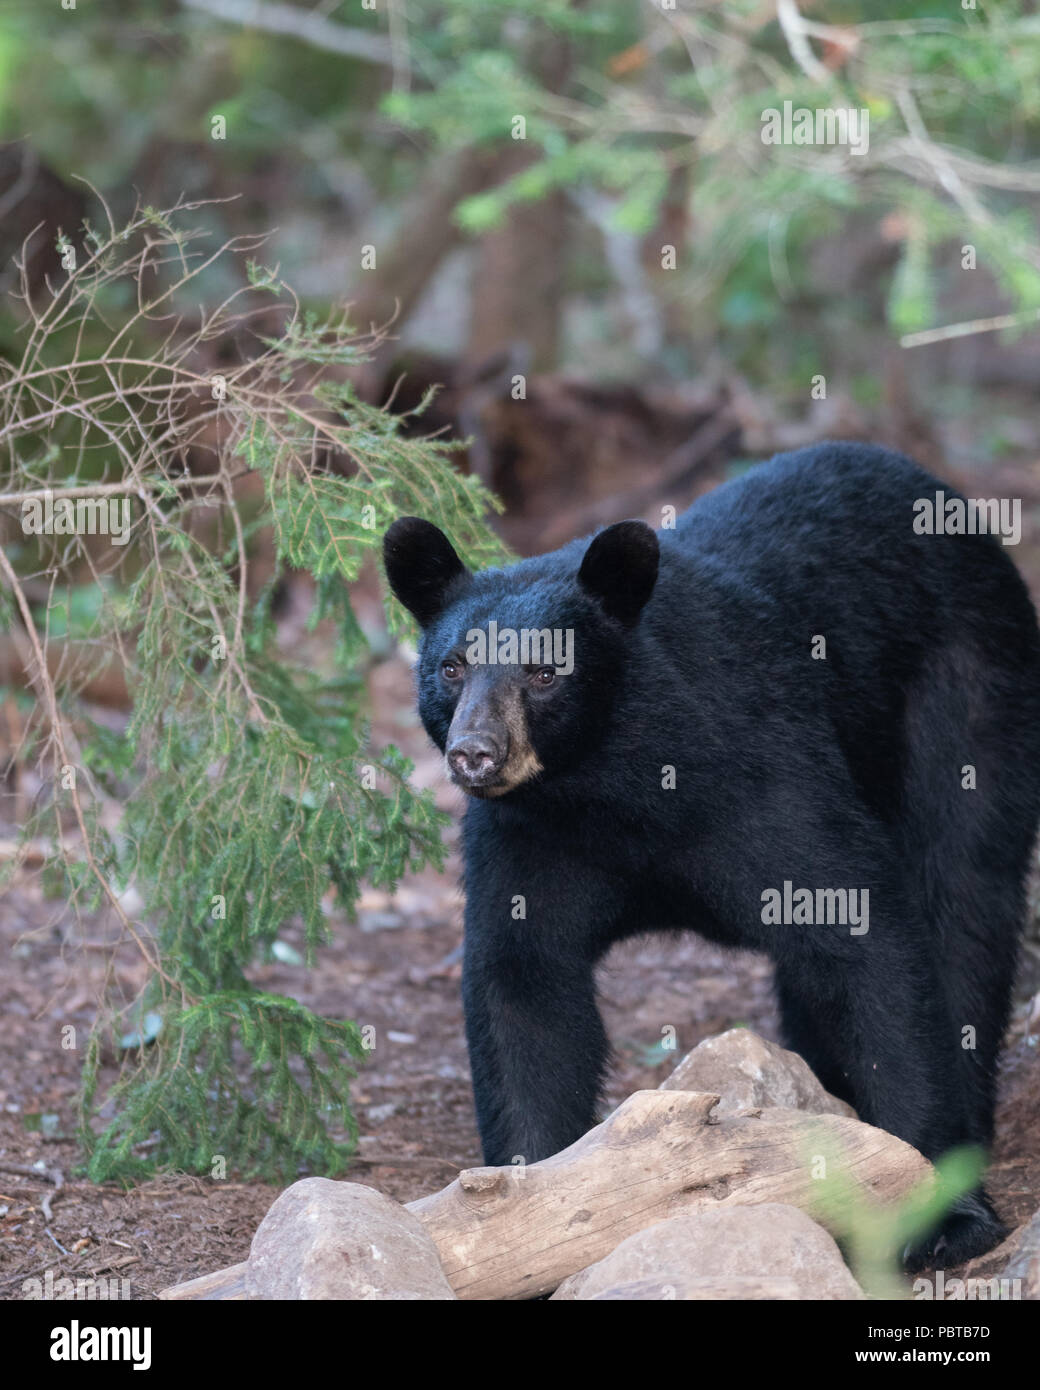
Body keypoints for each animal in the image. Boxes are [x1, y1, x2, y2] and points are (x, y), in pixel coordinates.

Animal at [380, 444, 1040, 1273]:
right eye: (452, 666)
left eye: (545, 671)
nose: (476, 752)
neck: (614, 786)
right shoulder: (528, 838)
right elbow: (524, 985)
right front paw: (527, 1206)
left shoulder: (767, 775)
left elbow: (868, 942)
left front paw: (938, 1210)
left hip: (969, 695)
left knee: (965, 897)